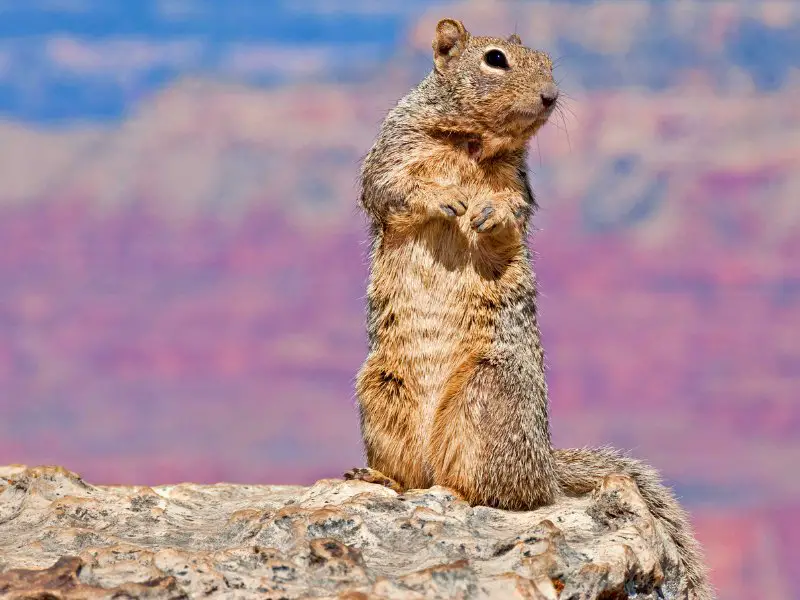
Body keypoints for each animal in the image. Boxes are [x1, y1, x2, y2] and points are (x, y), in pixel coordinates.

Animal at [344, 18, 712, 600]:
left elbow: (512, 217)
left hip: (489, 394)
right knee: (413, 477)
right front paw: (440, 198)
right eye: (495, 59)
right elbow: (387, 187)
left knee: (505, 493)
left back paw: (462, 493)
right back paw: (378, 478)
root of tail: (545, 464)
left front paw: (487, 213)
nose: (551, 96)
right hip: (382, 391)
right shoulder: (393, 149)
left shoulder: (517, 182)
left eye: (549, 63)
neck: (471, 143)